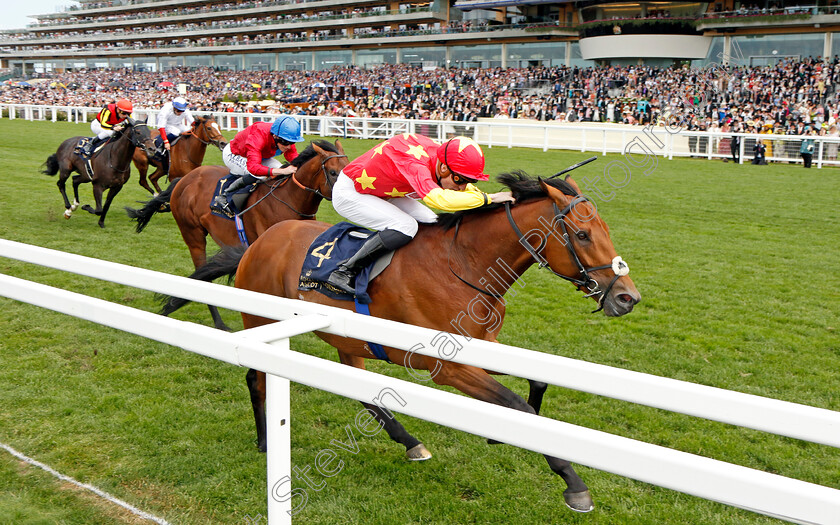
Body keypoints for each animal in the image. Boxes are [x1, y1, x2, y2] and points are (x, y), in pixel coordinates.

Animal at [125, 139, 348, 328]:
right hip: (193, 235)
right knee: (202, 277)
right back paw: (219, 322)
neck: (289, 198)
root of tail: (184, 179)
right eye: (333, 172)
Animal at [164, 171, 640, 512]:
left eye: (605, 229)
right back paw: (266, 440)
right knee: (257, 379)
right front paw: (573, 483)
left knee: (361, 391)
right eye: (582, 235)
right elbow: (519, 405)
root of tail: (258, 243)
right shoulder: (448, 367)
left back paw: (409, 441)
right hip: (261, 317)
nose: (627, 297)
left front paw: (499, 434)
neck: (464, 264)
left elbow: (535, 386)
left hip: (349, 341)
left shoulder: (482, 348)